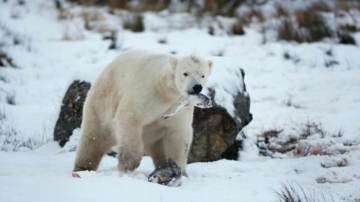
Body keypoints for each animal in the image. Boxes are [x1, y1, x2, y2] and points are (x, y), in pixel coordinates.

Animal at [74, 49, 212, 177]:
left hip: (155, 134)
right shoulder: (149, 92)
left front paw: (180, 172)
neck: (165, 90)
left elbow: (178, 135)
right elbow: (131, 115)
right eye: (185, 73)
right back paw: (83, 168)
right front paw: (127, 164)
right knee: (93, 138)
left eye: (203, 75)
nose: (197, 87)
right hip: (102, 102)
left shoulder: (178, 107)